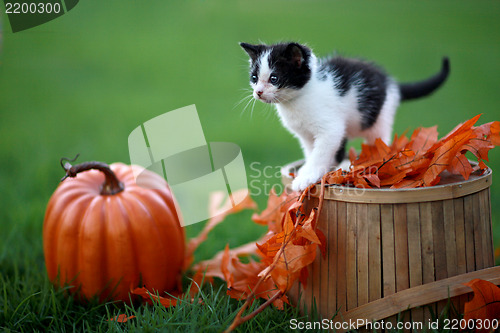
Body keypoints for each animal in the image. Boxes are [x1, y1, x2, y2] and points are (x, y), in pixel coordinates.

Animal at [240, 42, 452, 189]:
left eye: (274, 78)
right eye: (254, 78)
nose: (258, 92)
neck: (297, 100)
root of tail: (391, 84)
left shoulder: (330, 129)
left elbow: (320, 152)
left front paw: (307, 176)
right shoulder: (305, 134)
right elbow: (311, 151)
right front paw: (311, 168)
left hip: (379, 117)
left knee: (380, 141)